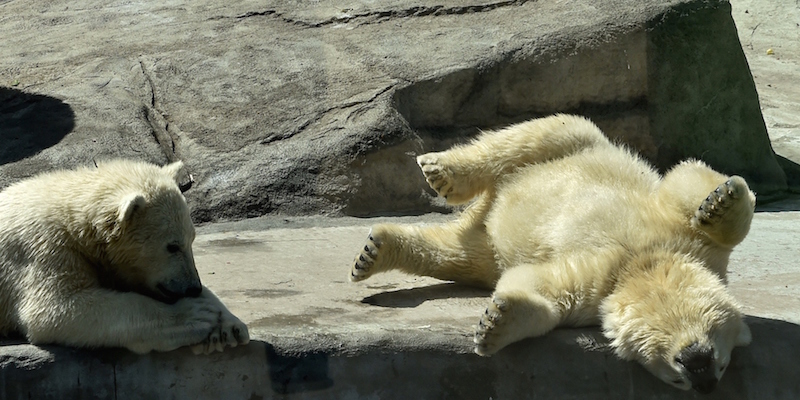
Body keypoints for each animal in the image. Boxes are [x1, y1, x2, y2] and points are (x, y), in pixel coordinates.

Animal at [0, 159, 247, 354]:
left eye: (192, 240)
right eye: (172, 246)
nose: (193, 288)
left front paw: (229, 327)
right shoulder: (44, 248)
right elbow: (57, 306)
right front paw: (197, 315)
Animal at [348, 114, 752, 392]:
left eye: (720, 368)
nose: (703, 380)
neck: (645, 263)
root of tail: (492, 207)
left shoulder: (600, 292)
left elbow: (547, 287)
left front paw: (496, 323)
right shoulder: (673, 234)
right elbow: (687, 182)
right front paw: (722, 198)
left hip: (488, 248)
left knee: (456, 252)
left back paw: (375, 250)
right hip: (580, 147)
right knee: (541, 135)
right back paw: (441, 171)